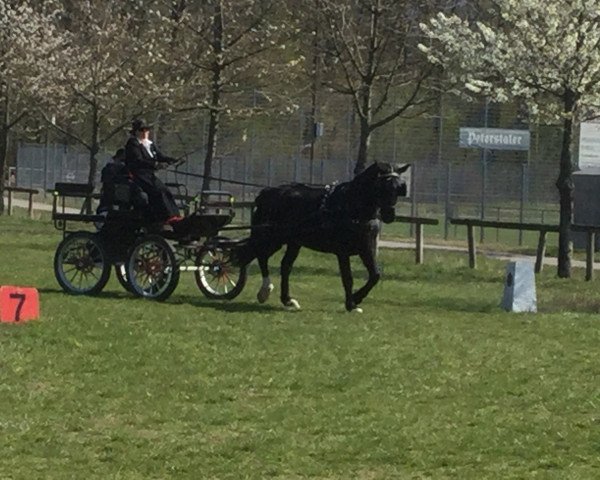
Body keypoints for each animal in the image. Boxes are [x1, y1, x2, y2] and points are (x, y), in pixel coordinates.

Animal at [233, 161, 408, 312]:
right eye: (383, 185)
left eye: (399, 187)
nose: (389, 215)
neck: (350, 207)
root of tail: (267, 192)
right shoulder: (342, 251)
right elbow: (348, 278)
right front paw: (351, 304)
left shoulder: (366, 248)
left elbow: (375, 275)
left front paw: (356, 298)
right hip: (271, 238)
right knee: (261, 256)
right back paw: (265, 290)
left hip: (293, 242)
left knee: (285, 265)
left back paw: (287, 300)